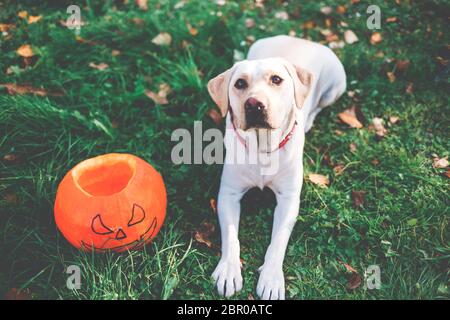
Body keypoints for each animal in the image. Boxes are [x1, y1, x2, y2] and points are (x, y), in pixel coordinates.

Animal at [208, 35, 348, 300]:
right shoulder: (228, 194)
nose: (254, 104)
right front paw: (229, 270)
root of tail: (299, 38)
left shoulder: (289, 199)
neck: (263, 148)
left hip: (337, 85)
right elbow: (230, 236)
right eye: (240, 83)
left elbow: (279, 240)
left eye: (276, 80)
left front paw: (271, 278)